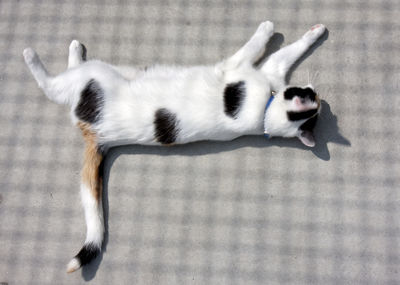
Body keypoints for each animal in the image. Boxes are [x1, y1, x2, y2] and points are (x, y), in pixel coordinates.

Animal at [23, 21, 326, 272]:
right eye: (308, 92)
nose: (316, 91)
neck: (264, 113)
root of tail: (98, 136)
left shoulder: (234, 66)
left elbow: (254, 45)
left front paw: (267, 27)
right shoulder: (265, 69)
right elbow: (286, 51)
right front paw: (315, 32)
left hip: (92, 78)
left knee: (52, 86)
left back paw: (37, 55)